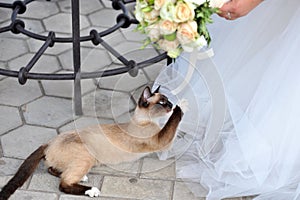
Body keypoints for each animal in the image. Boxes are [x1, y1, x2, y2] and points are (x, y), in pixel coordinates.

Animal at [0, 85, 184, 198]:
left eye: (167, 100)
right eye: (162, 102)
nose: (171, 104)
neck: (146, 121)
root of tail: (48, 142)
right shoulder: (162, 141)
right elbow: (172, 122)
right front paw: (181, 107)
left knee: (53, 170)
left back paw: (83, 178)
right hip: (87, 157)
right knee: (63, 184)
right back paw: (92, 190)